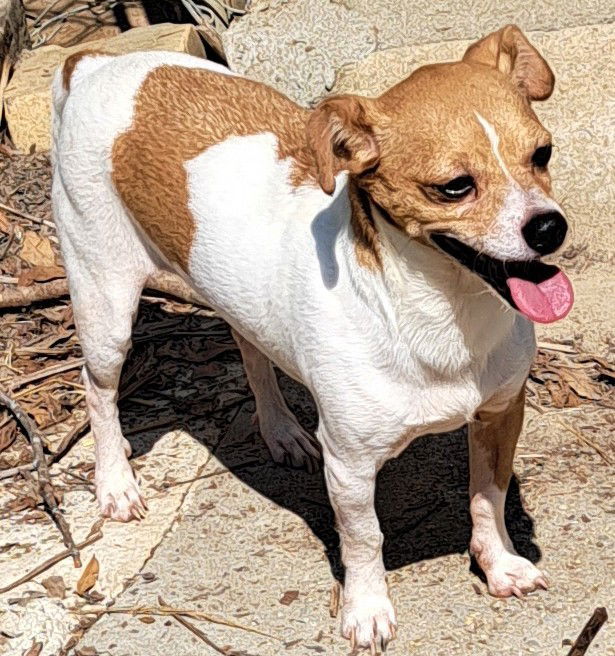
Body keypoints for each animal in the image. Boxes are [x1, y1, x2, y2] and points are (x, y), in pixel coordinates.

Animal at [51, 25, 572, 652]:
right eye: (454, 188)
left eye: (542, 155)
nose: (549, 227)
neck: (446, 316)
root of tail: (96, 62)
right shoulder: (349, 465)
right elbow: (365, 539)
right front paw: (366, 609)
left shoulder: (499, 415)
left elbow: (486, 499)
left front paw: (499, 565)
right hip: (104, 306)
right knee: (98, 390)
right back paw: (116, 484)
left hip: (236, 299)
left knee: (252, 354)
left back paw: (280, 432)